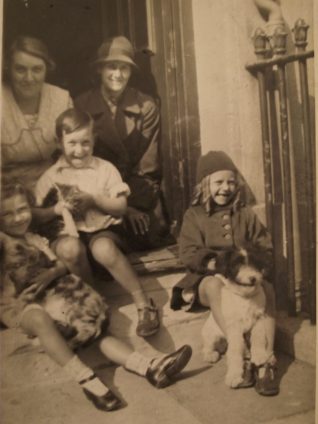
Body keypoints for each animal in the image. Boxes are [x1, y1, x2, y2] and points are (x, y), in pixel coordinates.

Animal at [201, 247, 270, 390]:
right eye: (237, 265)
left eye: (255, 262)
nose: (253, 278)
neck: (245, 297)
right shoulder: (234, 328)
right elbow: (235, 350)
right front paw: (234, 375)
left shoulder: (259, 318)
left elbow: (259, 336)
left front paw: (259, 354)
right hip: (211, 334)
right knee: (207, 346)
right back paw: (210, 354)